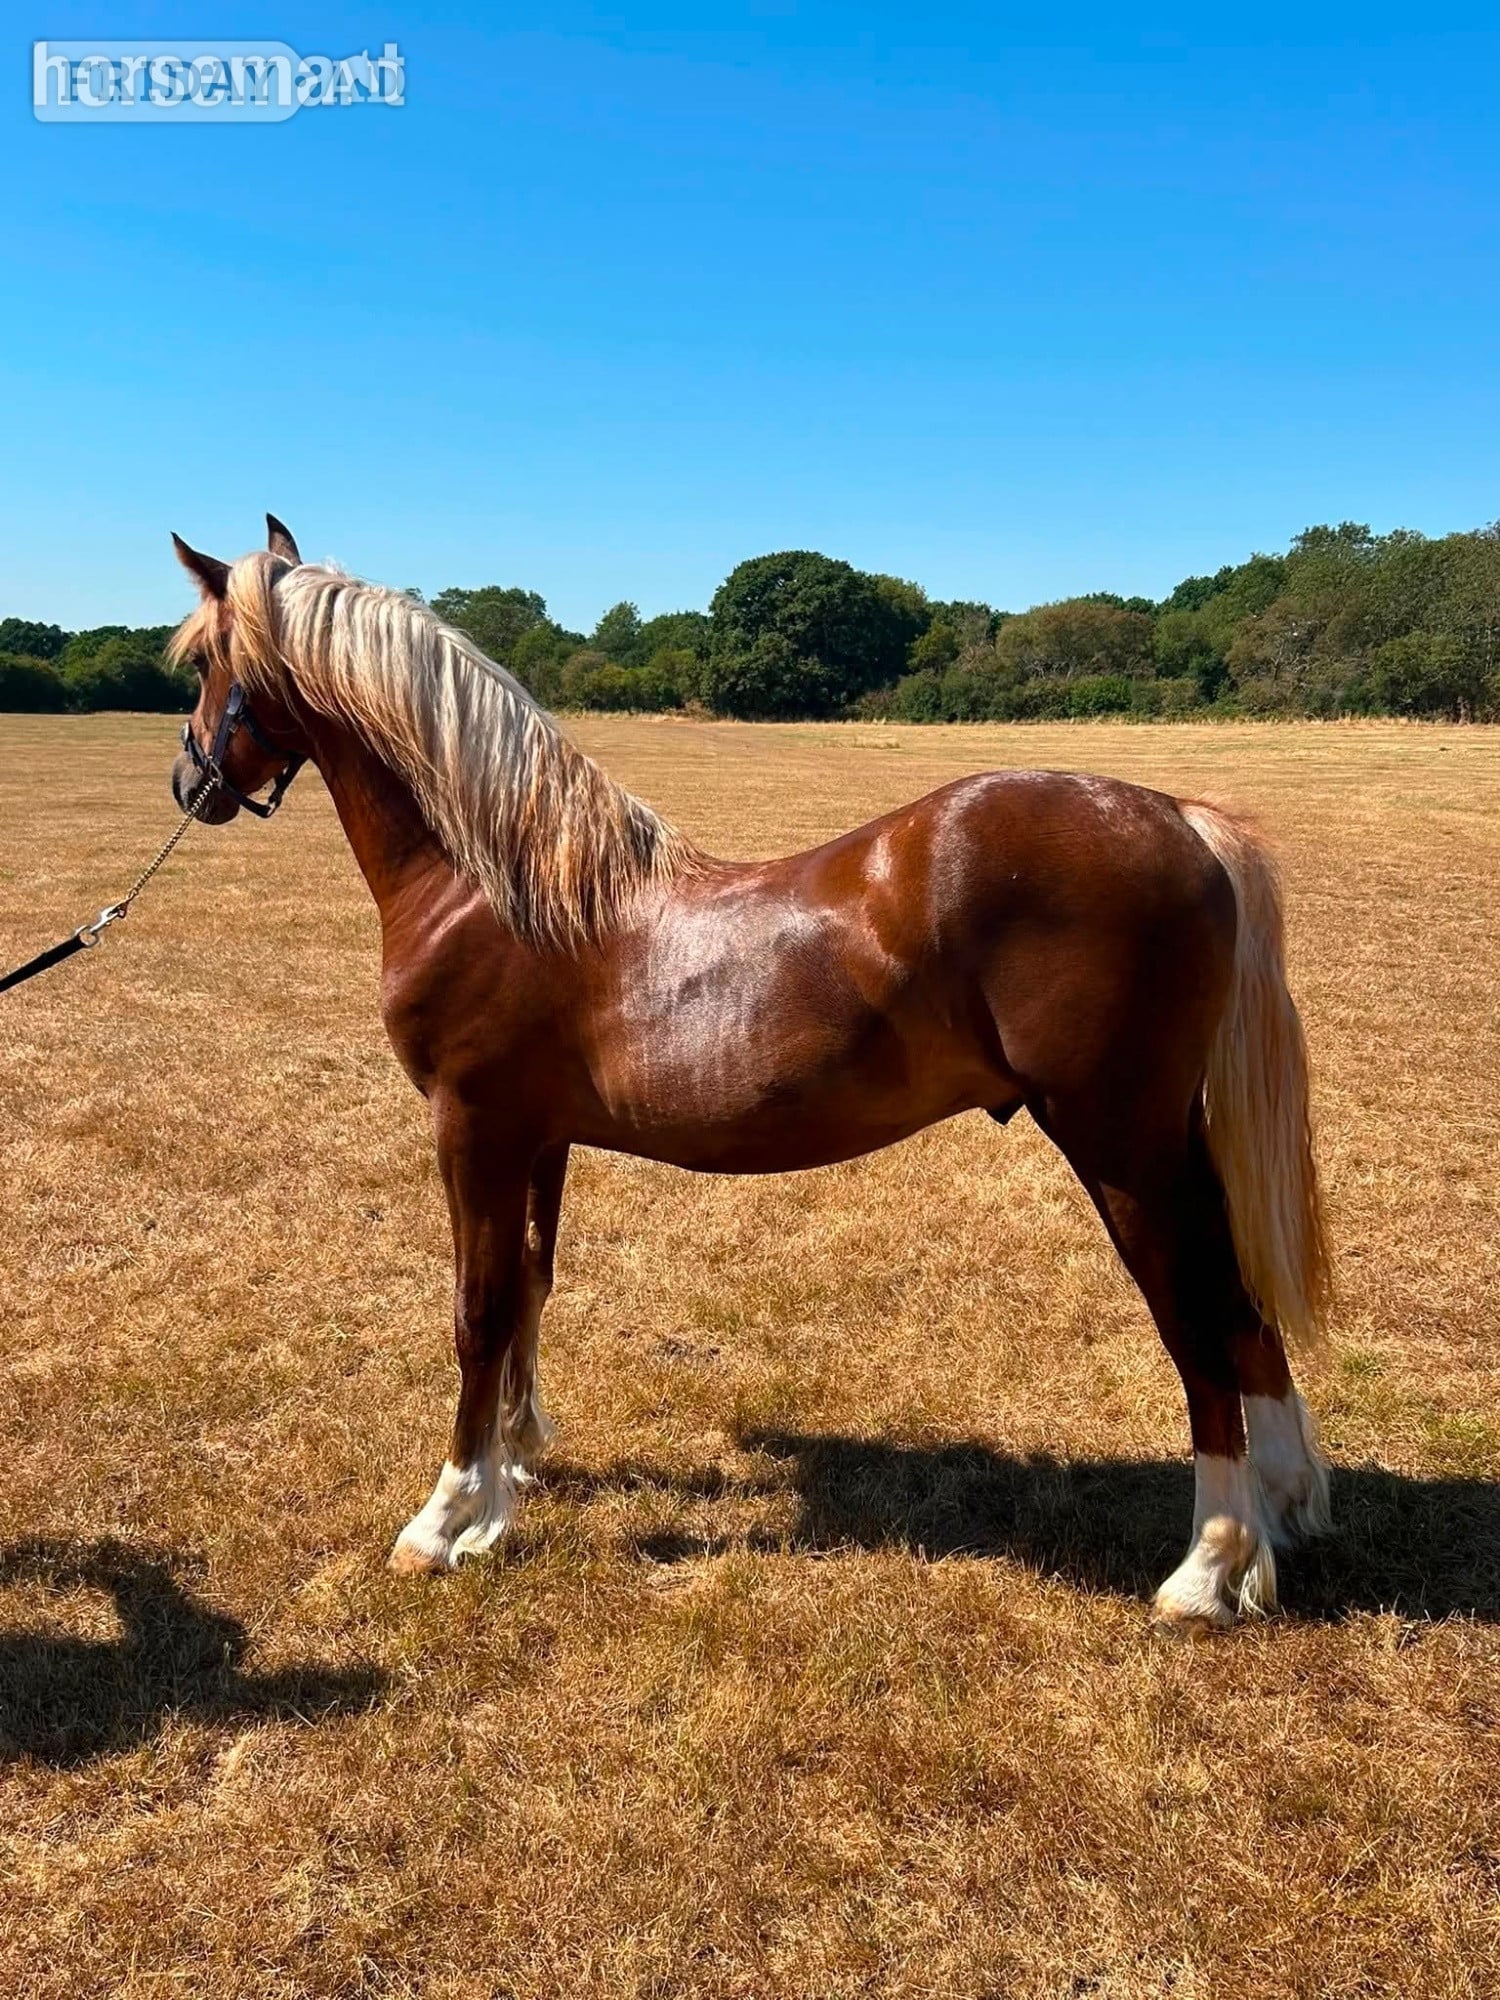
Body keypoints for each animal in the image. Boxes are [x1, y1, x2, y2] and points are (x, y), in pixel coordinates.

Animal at [166, 517, 1332, 1635]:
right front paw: (511, 1478)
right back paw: (1285, 1512)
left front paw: (446, 1517)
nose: (189, 780)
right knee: (1243, 1306)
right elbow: (530, 1291)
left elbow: (478, 1311)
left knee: (1197, 1319)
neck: (493, 887)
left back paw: (1208, 1570)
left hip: (1120, 1146)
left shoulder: (474, 1126)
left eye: (207, 660)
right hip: (1173, 1142)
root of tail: (1178, 816)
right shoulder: (538, 1138)